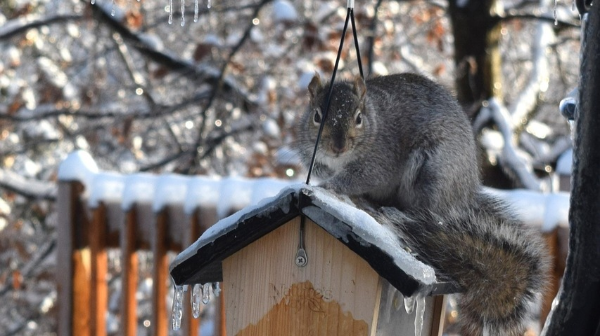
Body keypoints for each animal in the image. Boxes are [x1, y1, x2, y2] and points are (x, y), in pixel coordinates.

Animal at [294, 73, 548, 336]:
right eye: (316, 116)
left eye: (358, 118)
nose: (338, 146)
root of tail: (465, 195)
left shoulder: (381, 159)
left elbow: (360, 177)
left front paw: (330, 186)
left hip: (431, 174)